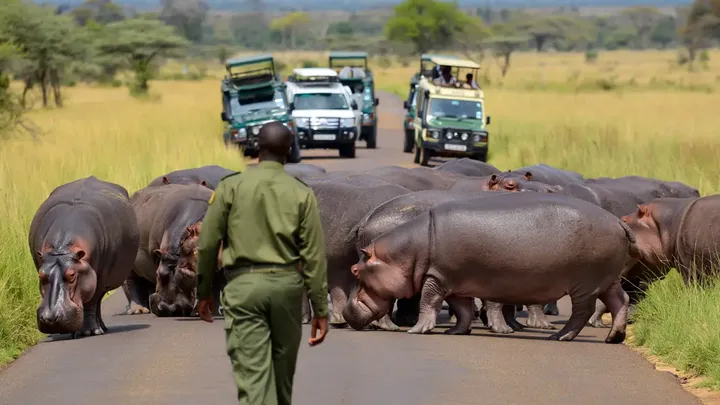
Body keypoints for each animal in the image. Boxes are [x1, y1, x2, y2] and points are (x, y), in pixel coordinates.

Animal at [29, 177, 140, 337]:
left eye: (72, 275)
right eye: (41, 275)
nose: (51, 319)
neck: (62, 249)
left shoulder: (98, 277)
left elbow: (90, 303)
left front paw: (88, 331)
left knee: (96, 302)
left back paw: (100, 329)